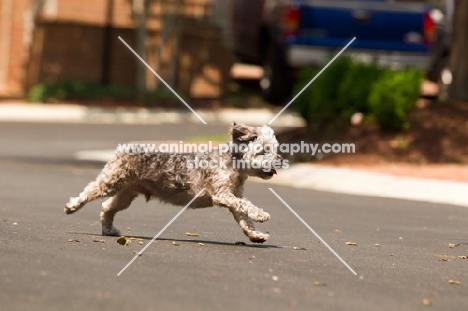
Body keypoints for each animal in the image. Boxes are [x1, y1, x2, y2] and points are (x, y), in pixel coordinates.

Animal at [65, 122, 286, 244]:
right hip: (111, 182)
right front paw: (261, 214)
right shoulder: (222, 194)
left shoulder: (233, 197)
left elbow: (244, 218)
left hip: (126, 194)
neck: (233, 163)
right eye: (264, 150)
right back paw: (72, 206)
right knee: (90, 191)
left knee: (107, 207)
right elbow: (247, 205)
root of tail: (123, 149)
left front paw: (255, 235)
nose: (280, 160)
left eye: (275, 148)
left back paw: (108, 230)